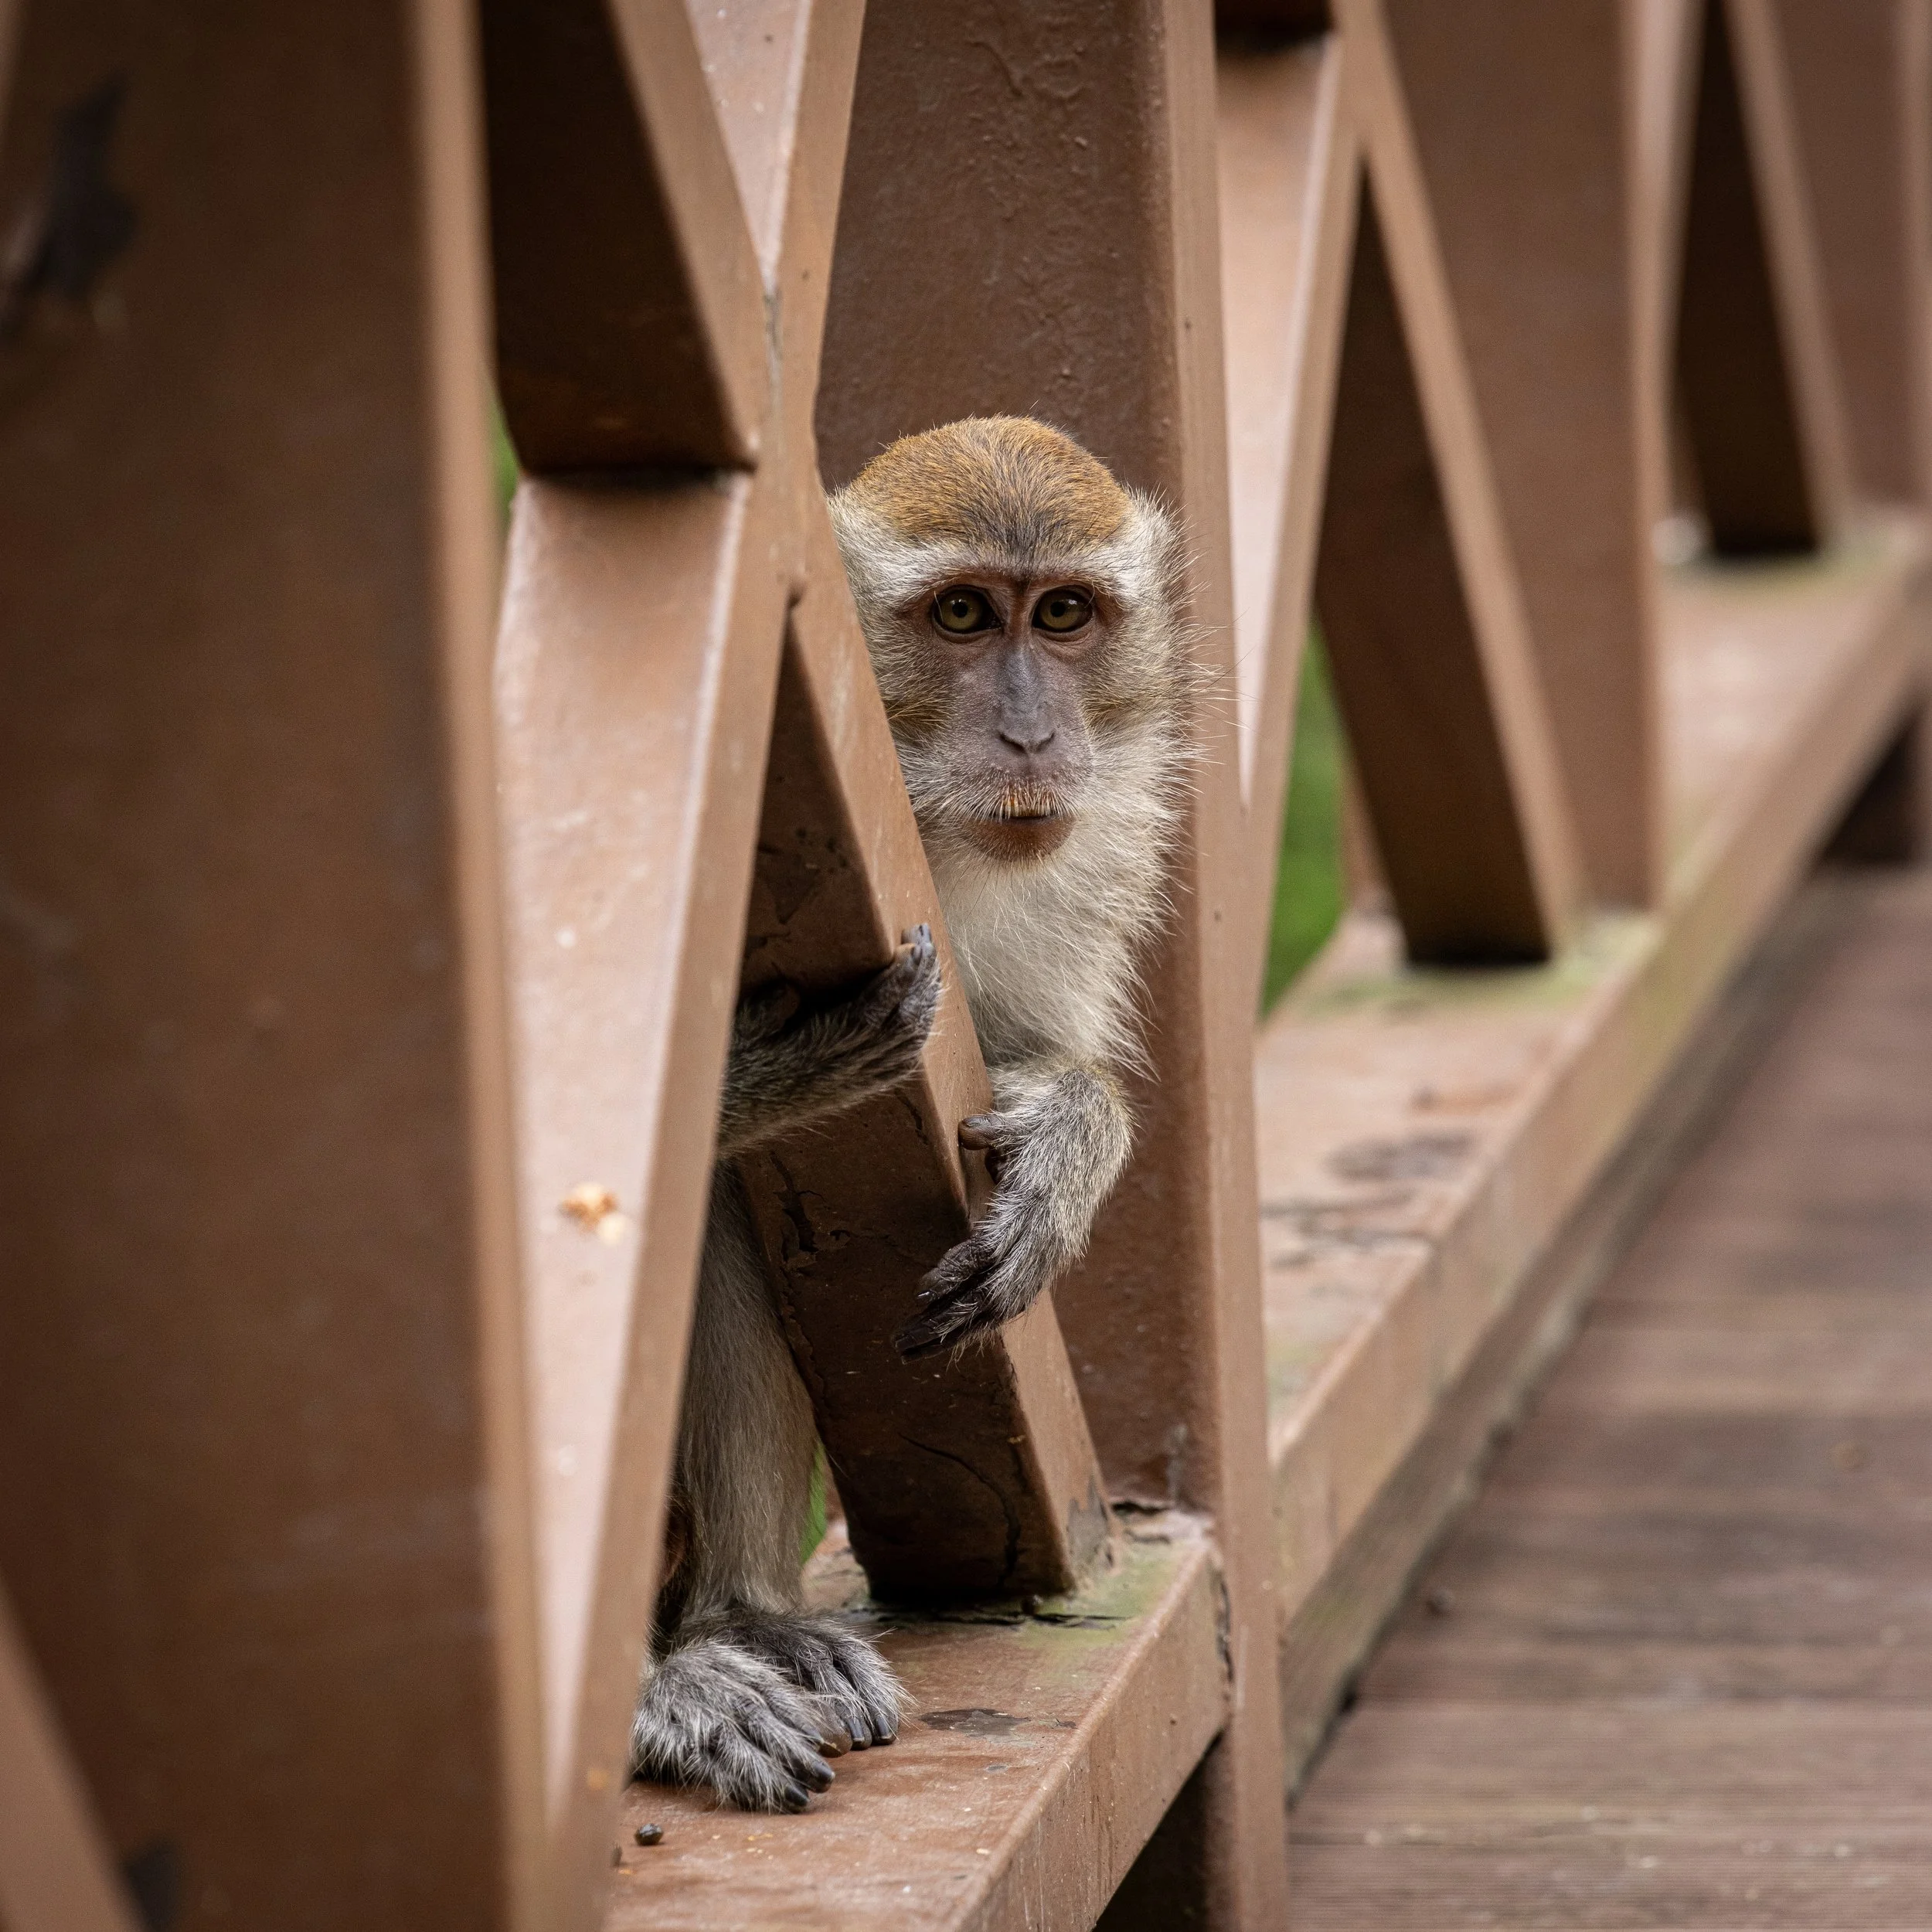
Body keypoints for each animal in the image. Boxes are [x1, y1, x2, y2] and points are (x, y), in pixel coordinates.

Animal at [629, 416, 1194, 1812]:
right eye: (960, 615)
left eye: (1063, 614)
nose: (1035, 739)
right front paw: (774, 1075)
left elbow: (1035, 1059)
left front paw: (1070, 1137)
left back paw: (740, 1616)